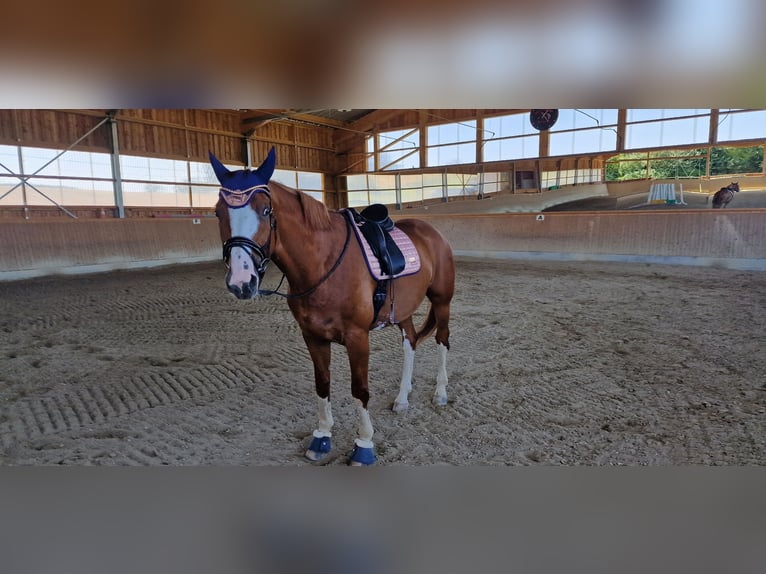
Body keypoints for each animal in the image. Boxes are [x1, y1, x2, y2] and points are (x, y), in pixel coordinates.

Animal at [210, 146, 456, 466]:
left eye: (265, 211)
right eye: (218, 212)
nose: (241, 281)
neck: (322, 264)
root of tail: (430, 231)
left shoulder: (357, 337)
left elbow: (359, 389)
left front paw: (363, 445)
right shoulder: (313, 337)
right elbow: (322, 383)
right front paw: (322, 437)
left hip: (442, 301)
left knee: (442, 341)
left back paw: (440, 392)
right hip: (402, 310)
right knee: (410, 343)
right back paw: (402, 398)